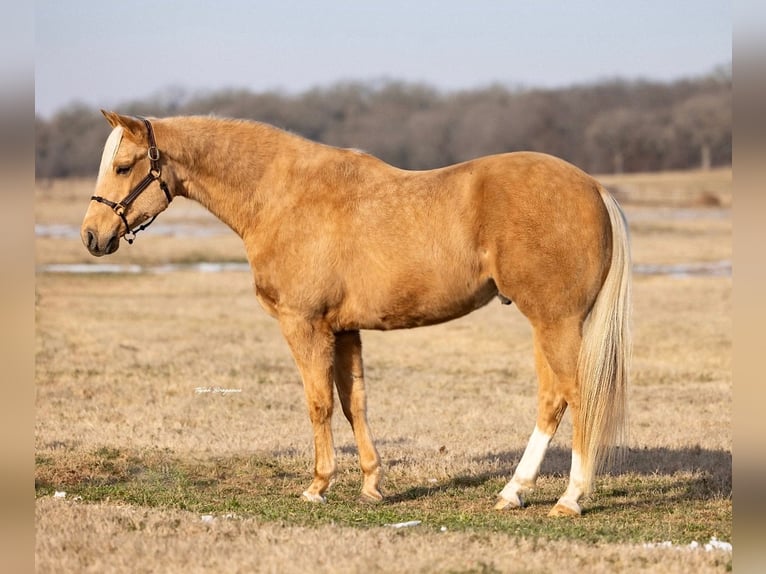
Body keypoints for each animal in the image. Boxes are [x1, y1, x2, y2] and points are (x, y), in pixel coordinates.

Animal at [81, 111, 631, 516]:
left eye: (125, 165)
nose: (91, 236)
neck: (283, 197)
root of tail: (594, 188)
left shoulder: (304, 325)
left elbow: (318, 403)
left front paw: (317, 486)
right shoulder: (344, 330)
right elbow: (355, 403)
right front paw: (371, 485)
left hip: (556, 322)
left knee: (577, 396)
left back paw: (569, 499)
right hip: (547, 325)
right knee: (552, 400)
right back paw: (513, 491)